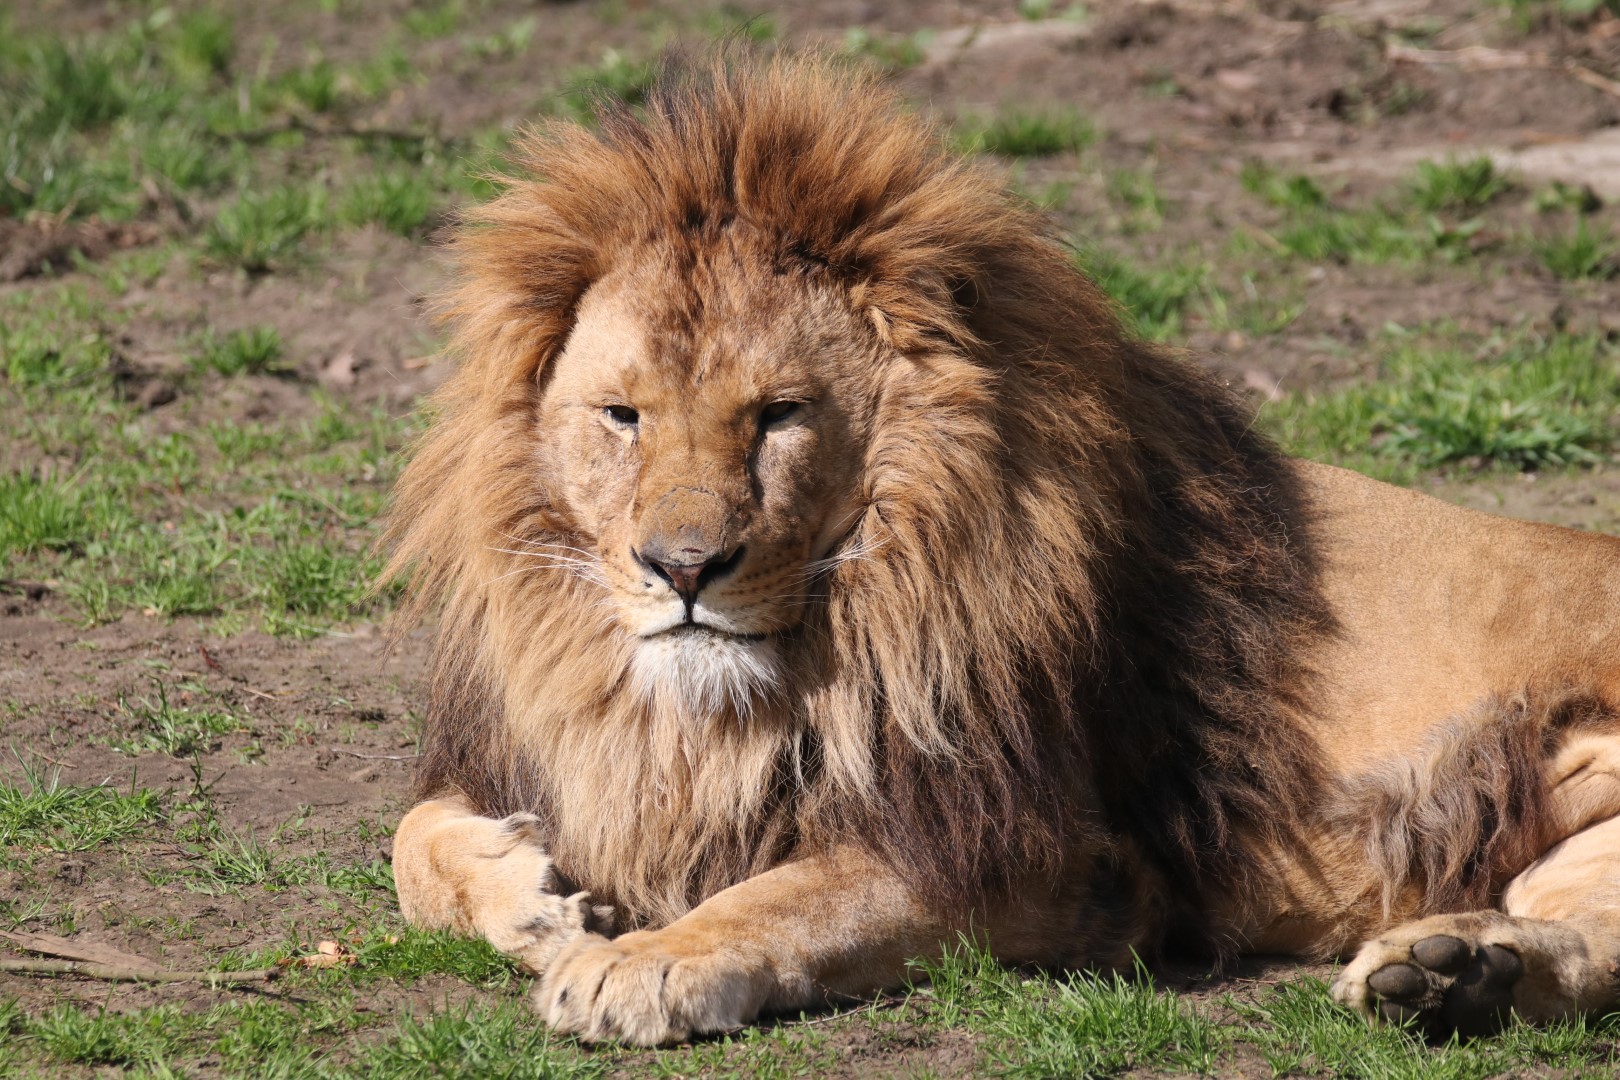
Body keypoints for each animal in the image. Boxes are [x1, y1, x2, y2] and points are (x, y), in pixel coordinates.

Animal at [383, 56, 1620, 1046]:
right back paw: (1460, 975)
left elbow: (790, 893)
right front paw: (533, 896)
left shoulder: (1048, 856)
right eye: (623, 417)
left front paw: (641, 960)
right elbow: (409, 835)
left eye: (779, 415)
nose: (682, 570)